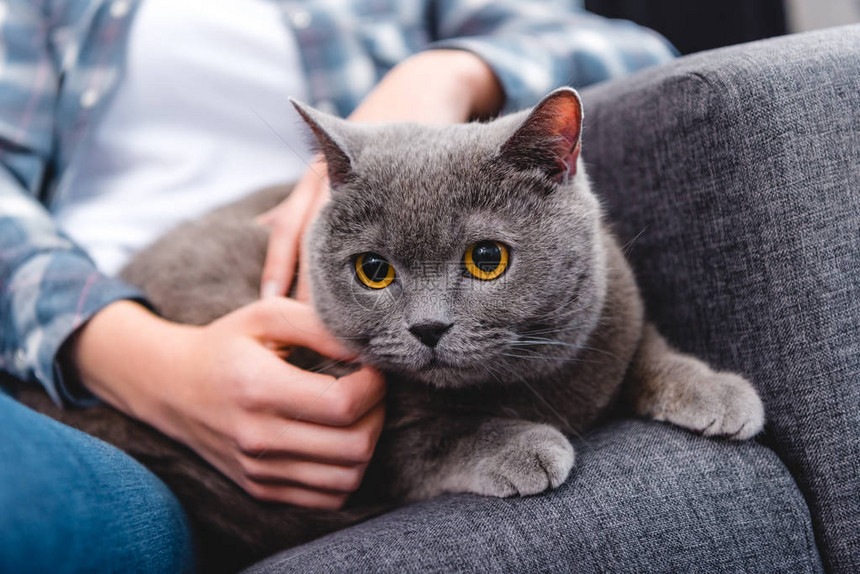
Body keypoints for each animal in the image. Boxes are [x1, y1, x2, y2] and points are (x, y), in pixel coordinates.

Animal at [18, 88, 760, 572]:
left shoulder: (614, 308)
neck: (532, 388)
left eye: (487, 259)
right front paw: (524, 447)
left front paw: (721, 394)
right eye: (373, 271)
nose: (428, 326)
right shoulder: (366, 452)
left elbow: (646, 348)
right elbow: (433, 442)